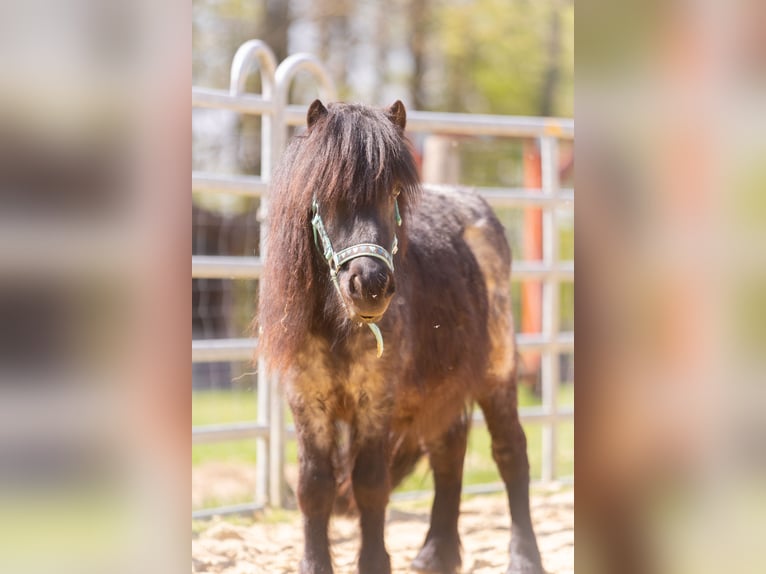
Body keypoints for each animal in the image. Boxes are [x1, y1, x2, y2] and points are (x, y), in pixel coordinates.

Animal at [258, 99, 543, 574]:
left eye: (392, 194)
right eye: (325, 194)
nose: (370, 284)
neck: (337, 324)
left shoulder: (376, 399)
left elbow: (370, 483)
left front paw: (375, 561)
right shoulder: (307, 400)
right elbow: (313, 486)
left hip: (497, 372)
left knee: (511, 453)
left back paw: (524, 558)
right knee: (449, 451)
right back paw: (435, 554)